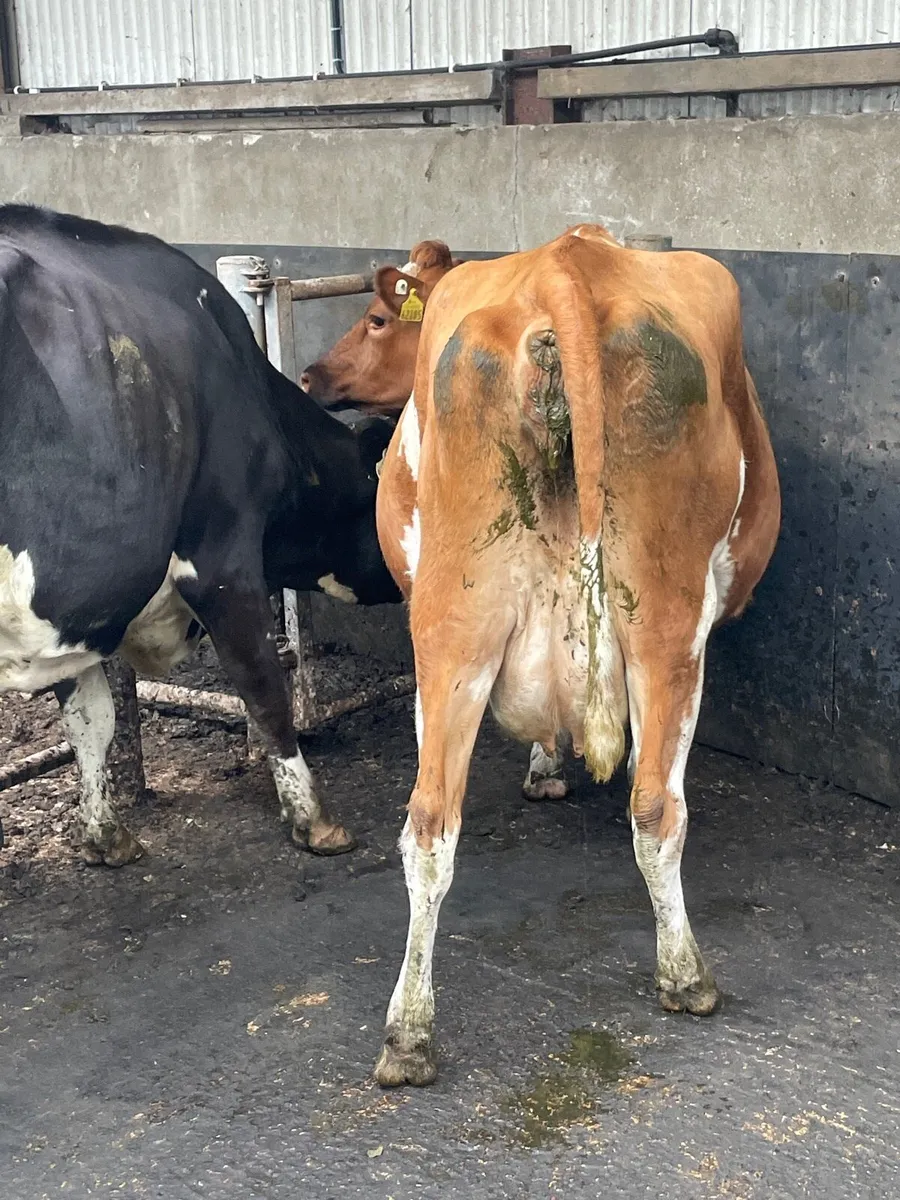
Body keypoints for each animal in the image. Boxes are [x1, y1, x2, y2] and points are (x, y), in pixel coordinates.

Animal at [0, 204, 400, 867]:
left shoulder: (75, 606)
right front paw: (314, 820)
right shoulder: (220, 556)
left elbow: (92, 720)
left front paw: (106, 835)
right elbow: (264, 687)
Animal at [369, 225, 781, 1087]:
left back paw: (409, 1035)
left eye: (378, 322)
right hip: (666, 624)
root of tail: (563, 262)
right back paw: (687, 977)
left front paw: (545, 765)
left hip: (454, 626)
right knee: (656, 806)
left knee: (429, 824)